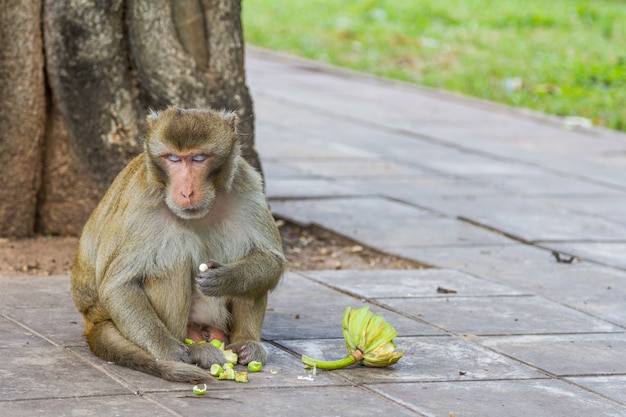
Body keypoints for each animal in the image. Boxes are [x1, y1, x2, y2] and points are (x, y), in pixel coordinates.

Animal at [69, 105, 284, 382]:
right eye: (173, 158)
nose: (187, 192)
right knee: (171, 260)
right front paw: (170, 351)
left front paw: (225, 278)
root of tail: (92, 319)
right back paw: (194, 348)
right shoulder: (142, 202)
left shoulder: (247, 185)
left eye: (198, 158)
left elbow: (270, 259)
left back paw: (246, 343)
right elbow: (119, 285)